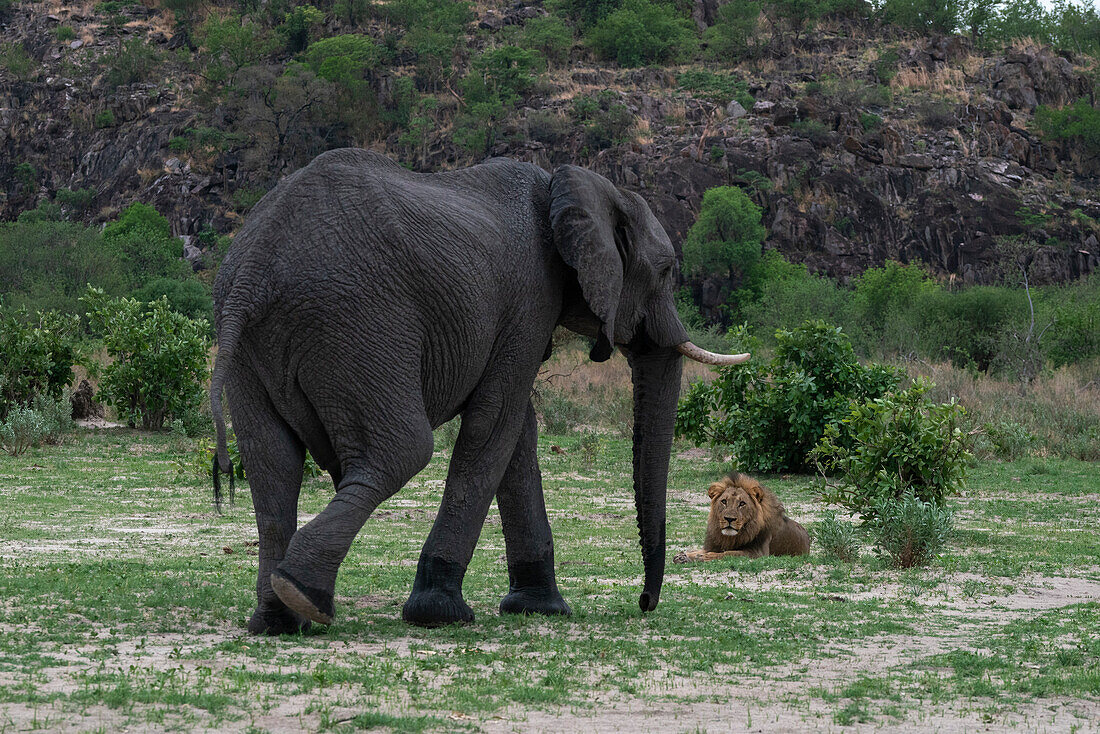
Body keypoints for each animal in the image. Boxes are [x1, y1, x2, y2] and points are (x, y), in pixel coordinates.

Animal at [211, 146, 748, 633]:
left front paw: (539, 608)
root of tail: (252, 273)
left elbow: (517, 434)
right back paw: (304, 598)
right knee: (401, 451)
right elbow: (495, 424)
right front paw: (440, 614)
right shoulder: (531, 297)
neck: (572, 186)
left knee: (272, 461)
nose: (644, 602)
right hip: (357, 324)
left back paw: (277, 619)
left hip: (255, 344)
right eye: (666, 271)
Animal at [668, 470, 809, 563]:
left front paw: (706, 557)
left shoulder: (758, 553)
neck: (730, 538)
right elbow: (700, 550)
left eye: (742, 504)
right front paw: (683, 556)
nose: (729, 519)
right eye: (724, 501)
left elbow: (729, 553)